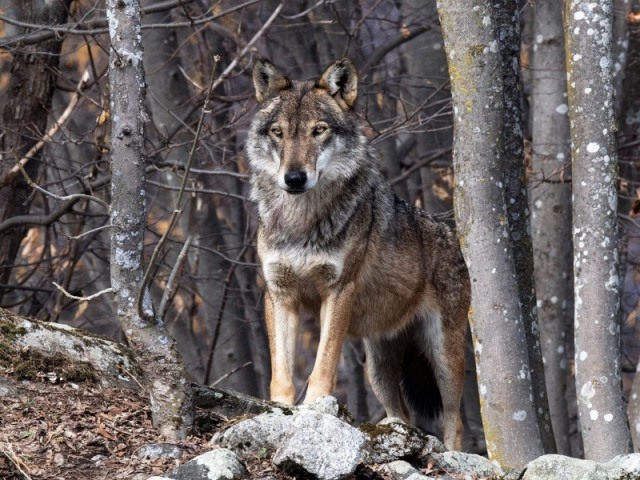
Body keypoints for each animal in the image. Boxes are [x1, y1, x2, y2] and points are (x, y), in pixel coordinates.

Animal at [245, 57, 470, 450]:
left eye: (318, 131)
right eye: (278, 132)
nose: (294, 178)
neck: (301, 221)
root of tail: (451, 236)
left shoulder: (338, 291)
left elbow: (323, 364)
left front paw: (315, 410)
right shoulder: (278, 294)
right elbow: (281, 372)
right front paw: (280, 410)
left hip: (443, 355)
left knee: (454, 421)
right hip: (377, 371)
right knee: (403, 416)